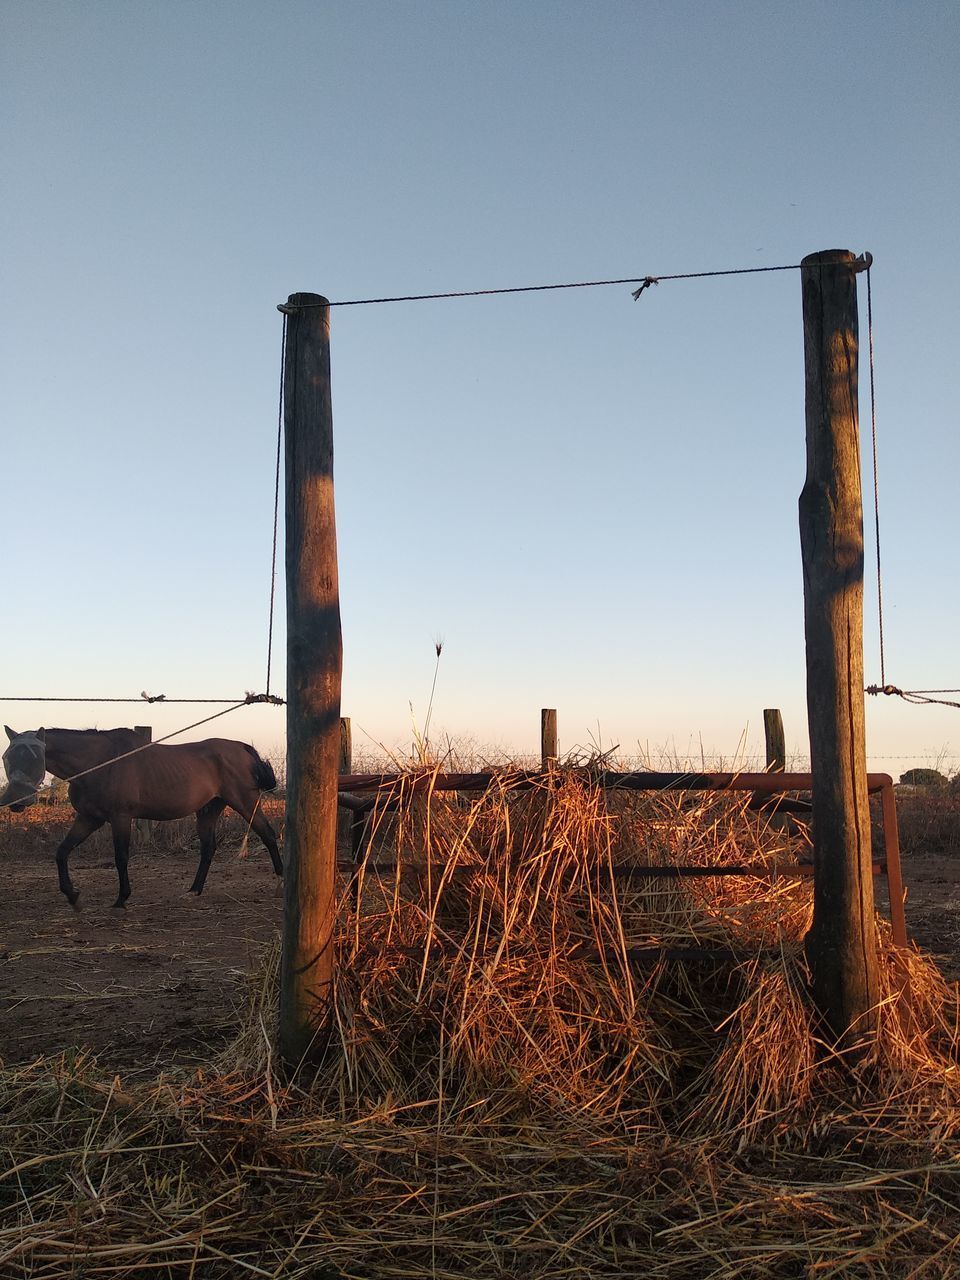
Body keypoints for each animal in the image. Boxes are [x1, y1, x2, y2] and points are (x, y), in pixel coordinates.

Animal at [2, 727, 281, 906]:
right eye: (6, 757)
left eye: (33, 757)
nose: (14, 801)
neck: (100, 762)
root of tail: (242, 748)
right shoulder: (89, 818)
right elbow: (62, 852)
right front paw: (72, 895)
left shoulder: (120, 817)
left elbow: (121, 857)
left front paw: (121, 898)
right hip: (209, 809)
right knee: (208, 848)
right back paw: (193, 890)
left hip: (245, 802)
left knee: (267, 834)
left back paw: (279, 880)